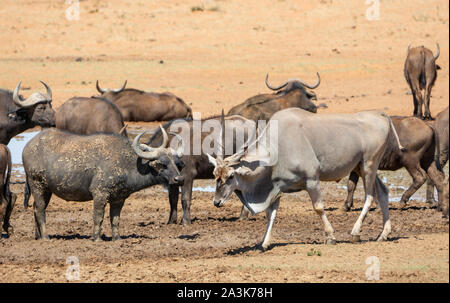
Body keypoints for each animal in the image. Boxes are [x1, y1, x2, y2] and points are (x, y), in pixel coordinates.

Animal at [22, 127, 185, 241]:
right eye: (162, 163)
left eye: (176, 162)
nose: (179, 179)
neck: (126, 163)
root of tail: (27, 147)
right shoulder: (100, 195)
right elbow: (98, 217)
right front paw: (96, 238)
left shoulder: (119, 199)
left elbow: (115, 219)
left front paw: (117, 238)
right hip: (37, 185)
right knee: (40, 210)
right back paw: (46, 237)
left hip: (47, 190)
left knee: (36, 208)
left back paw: (37, 236)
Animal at [207, 108, 404, 251]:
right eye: (215, 174)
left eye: (231, 176)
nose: (217, 202)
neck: (277, 146)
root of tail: (380, 115)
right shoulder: (277, 188)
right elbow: (271, 214)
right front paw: (264, 243)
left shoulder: (312, 180)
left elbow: (318, 207)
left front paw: (330, 236)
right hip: (363, 168)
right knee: (383, 192)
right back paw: (383, 234)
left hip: (369, 165)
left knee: (369, 196)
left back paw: (355, 233)